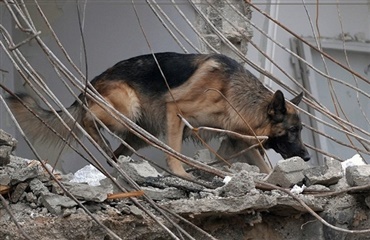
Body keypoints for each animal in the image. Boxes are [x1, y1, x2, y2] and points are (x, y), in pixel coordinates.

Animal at [7, 52, 310, 178]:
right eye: (294, 131)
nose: (307, 157)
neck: (234, 92)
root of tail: (89, 84)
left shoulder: (239, 138)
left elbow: (264, 166)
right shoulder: (177, 111)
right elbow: (174, 150)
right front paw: (180, 173)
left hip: (143, 131)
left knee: (116, 150)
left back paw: (116, 160)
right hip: (127, 107)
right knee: (86, 117)